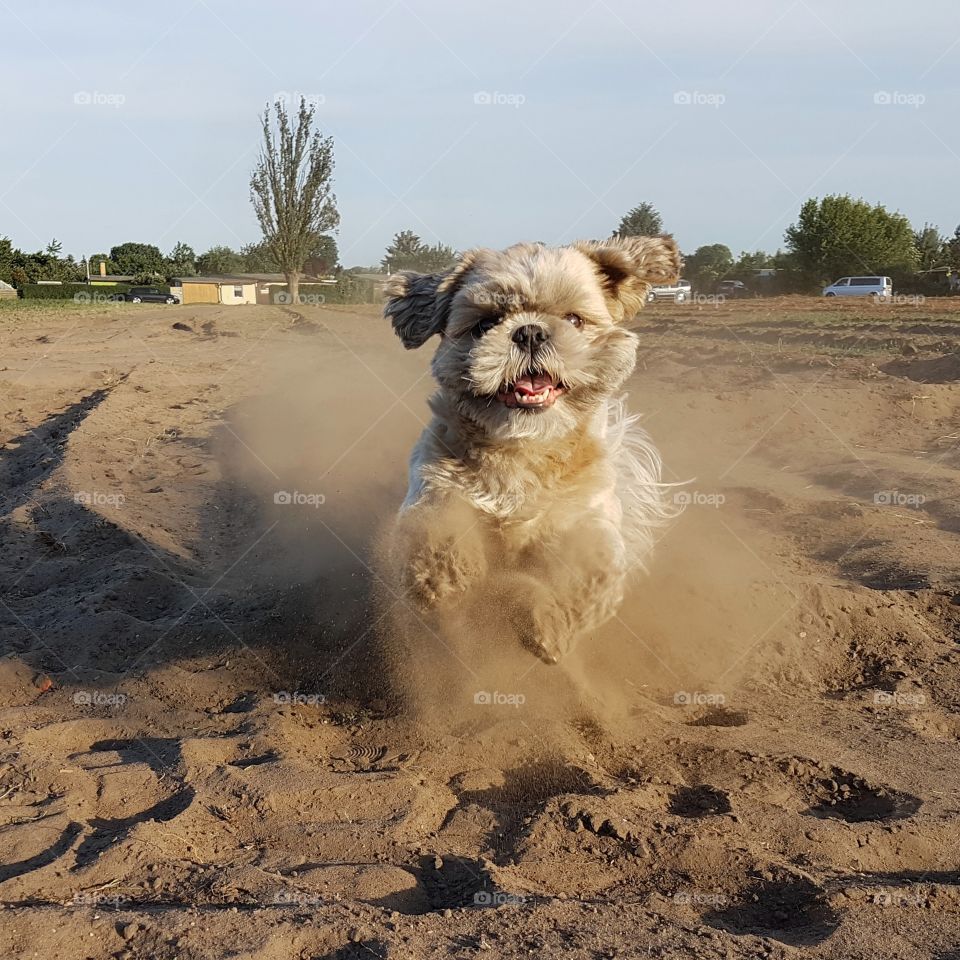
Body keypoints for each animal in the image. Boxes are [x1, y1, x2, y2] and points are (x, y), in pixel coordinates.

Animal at [382, 236, 684, 664]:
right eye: (485, 323)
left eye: (574, 319)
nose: (529, 332)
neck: (522, 449)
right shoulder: (433, 478)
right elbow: (438, 522)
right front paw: (446, 577)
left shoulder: (586, 513)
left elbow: (587, 562)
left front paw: (549, 618)